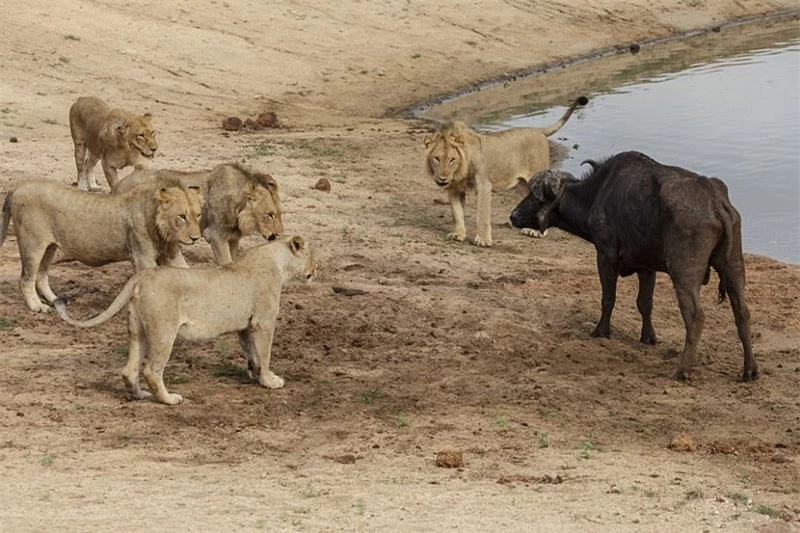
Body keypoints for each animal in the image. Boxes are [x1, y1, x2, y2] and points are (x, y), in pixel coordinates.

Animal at [1, 179, 202, 312]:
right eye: (182, 216)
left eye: (198, 215)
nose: (196, 238)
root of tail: (17, 187)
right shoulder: (143, 258)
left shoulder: (172, 255)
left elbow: (189, 275)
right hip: (32, 244)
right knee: (26, 278)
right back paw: (37, 306)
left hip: (49, 247)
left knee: (41, 276)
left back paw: (56, 300)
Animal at [52, 235, 316, 406]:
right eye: (312, 257)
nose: (317, 270)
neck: (278, 261)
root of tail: (142, 276)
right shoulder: (263, 321)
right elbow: (265, 352)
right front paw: (270, 381)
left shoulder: (244, 325)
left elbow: (252, 353)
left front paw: (255, 375)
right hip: (164, 331)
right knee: (151, 370)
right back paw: (169, 399)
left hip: (137, 329)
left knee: (129, 370)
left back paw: (140, 395)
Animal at [112, 162, 284, 262]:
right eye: (270, 214)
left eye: (279, 213)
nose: (278, 235)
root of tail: (118, 185)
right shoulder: (215, 235)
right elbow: (226, 262)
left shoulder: (233, 237)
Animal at [424, 95, 588, 245]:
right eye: (436, 158)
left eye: (452, 159)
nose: (443, 179)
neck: (459, 170)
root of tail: (539, 131)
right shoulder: (454, 189)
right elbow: (456, 213)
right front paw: (458, 235)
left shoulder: (484, 186)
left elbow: (482, 215)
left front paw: (483, 240)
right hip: (525, 183)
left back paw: (537, 232)